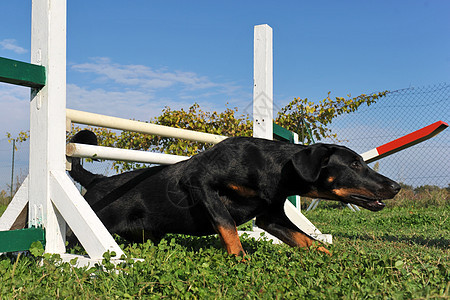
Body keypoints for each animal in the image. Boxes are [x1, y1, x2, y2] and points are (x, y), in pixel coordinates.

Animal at [67, 129, 400, 255]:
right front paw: (241, 259)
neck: (273, 168)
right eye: (355, 164)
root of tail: (95, 180)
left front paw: (335, 258)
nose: (395, 187)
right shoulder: (202, 184)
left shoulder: (271, 217)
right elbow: (226, 225)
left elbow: (306, 240)